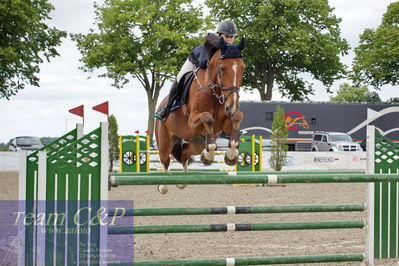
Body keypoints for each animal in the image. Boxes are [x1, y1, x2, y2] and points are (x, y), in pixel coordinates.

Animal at [154, 35, 245, 193]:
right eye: (222, 69)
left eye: (243, 68)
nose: (232, 106)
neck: (215, 93)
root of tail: (161, 104)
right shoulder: (193, 121)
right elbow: (207, 118)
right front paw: (209, 156)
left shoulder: (224, 123)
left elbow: (237, 118)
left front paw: (230, 156)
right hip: (165, 140)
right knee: (165, 160)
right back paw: (163, 186)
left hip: (196, 143)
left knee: (184, 154)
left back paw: (182, 182)